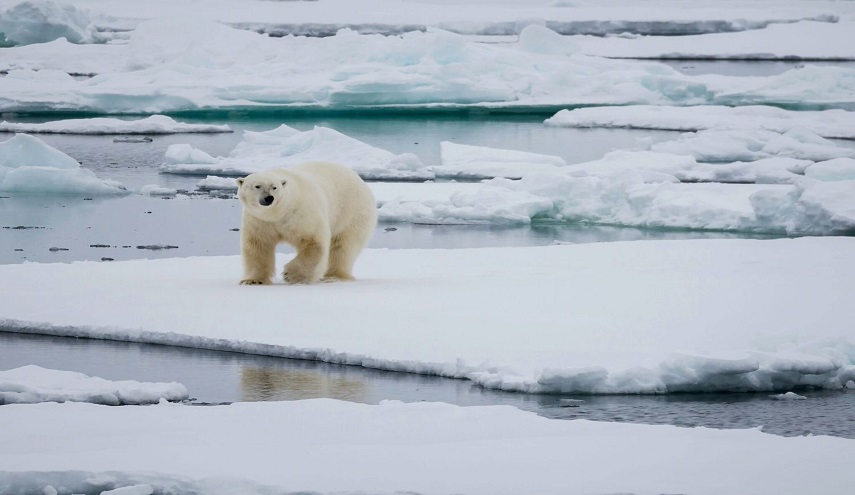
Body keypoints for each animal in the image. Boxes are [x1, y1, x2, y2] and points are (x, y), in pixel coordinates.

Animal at [237, 162, 378, 284]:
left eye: (274, 187)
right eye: (257, 186)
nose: (268, 198)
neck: (278, 213)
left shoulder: (301, 214)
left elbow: (314, 242)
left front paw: (291, 275)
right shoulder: (259, 221)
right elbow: (258, 245)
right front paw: (252, 280)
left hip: (352, 213)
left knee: (343, 247)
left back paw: (333, 276)